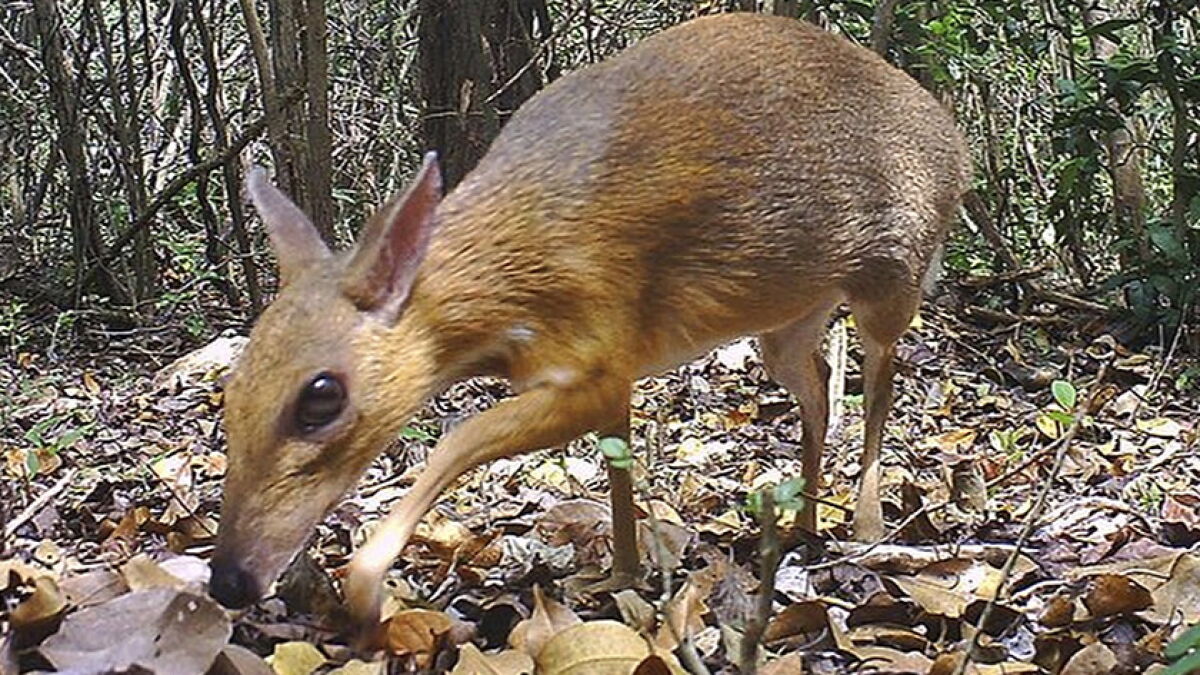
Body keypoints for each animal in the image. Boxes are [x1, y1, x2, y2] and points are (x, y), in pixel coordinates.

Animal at [208, 12, 971, 639]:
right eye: (231, 391)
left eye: (321, 396)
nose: (228, 579)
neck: (513, 273)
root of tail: (957, 142)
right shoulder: (611, 369)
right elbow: (616, 461)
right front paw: (620, 574)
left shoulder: (598, 350)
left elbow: (458, 437)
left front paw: (366, 587)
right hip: (787, 318)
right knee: (815, 383)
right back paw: (805, 522)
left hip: (894, 274)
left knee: (879, 384)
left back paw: (866, 524)